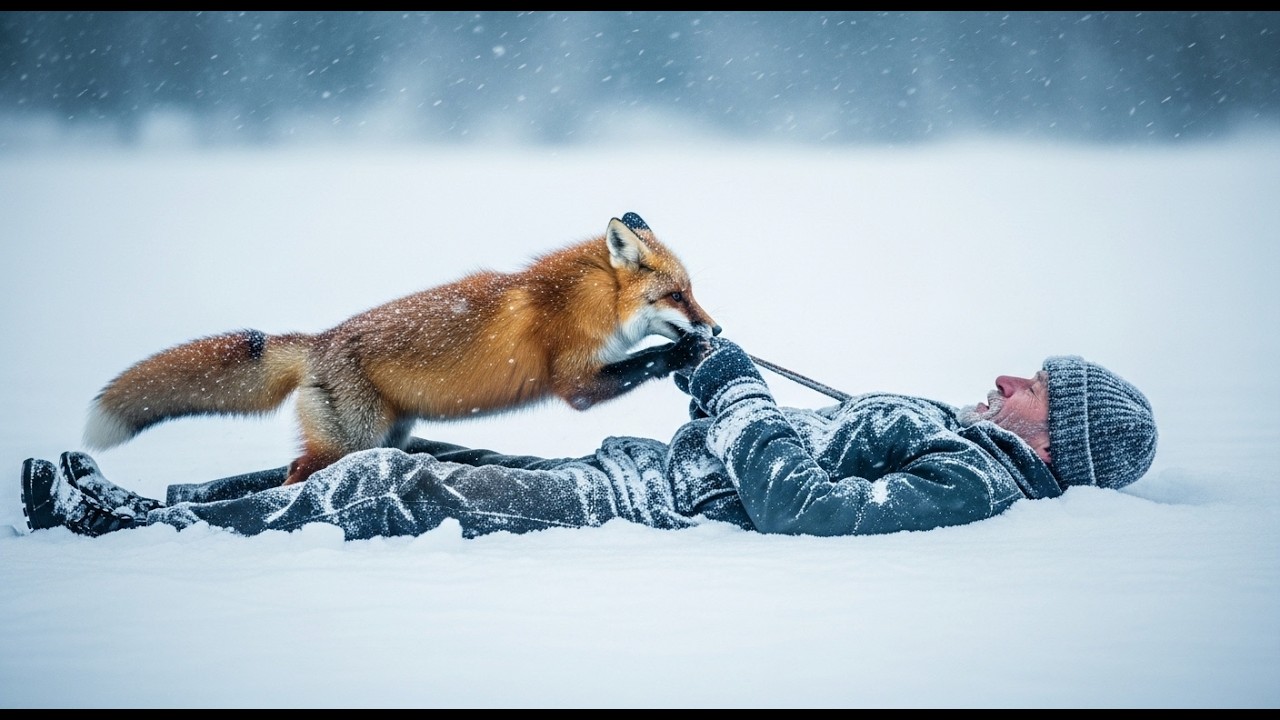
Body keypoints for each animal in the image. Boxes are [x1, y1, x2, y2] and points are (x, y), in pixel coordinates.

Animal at [85, 212, 720, 486]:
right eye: (677, 295)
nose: (715, 329)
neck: (587, 301)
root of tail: (317, 344)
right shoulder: (575, 381)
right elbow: (636, 363)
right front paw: (682, 356)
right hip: (347, 443)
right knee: (294, 475)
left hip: (385, 437)